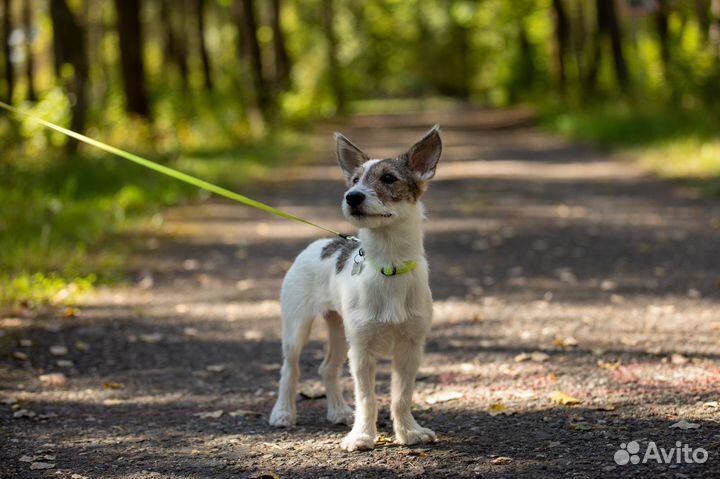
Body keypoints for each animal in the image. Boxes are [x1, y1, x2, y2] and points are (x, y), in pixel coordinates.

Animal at [268, 125, 442, 452]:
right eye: (354, 179)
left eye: (389, 178)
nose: (352, 197)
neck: (389, 266)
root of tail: (321, 243)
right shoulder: (361, 351)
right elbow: (367, 398)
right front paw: (362, 436)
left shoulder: (411, 348)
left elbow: (401, 397)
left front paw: (409, 432)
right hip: (297, 327)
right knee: (290, 369)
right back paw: (283, 412)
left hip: (338, 330)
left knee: (327, 368)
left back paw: (337, 411)